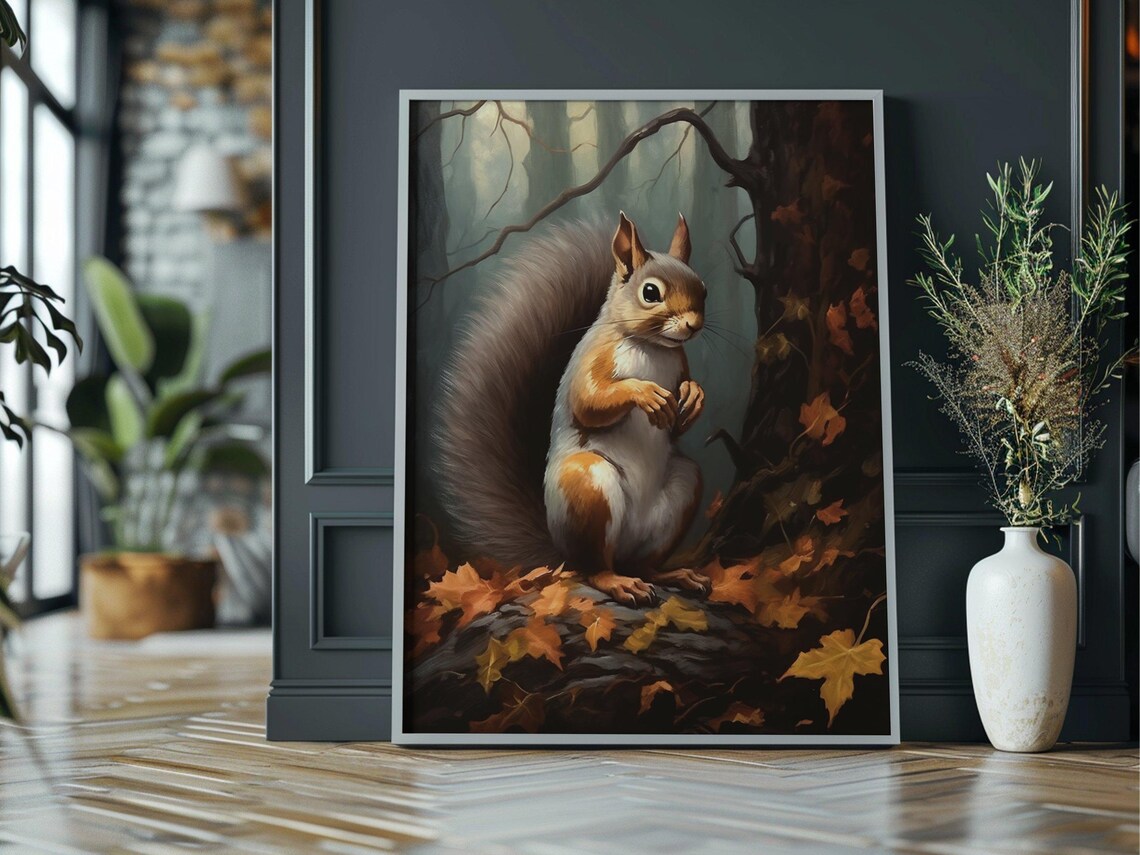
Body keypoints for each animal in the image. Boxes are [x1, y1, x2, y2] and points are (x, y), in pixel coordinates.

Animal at [436, 212, 712, 607]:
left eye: (703, 289)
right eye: (650, 293)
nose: (693, 325)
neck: (651, 347)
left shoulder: (680, 364)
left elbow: (679, 417)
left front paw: (694, 395)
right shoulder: (592, 358)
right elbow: (589, 402)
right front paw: (645, 393)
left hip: (683, 487)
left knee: (644, 563)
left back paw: (673, 574)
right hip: (586, 485)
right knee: (594, 568)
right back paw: (619, 582)